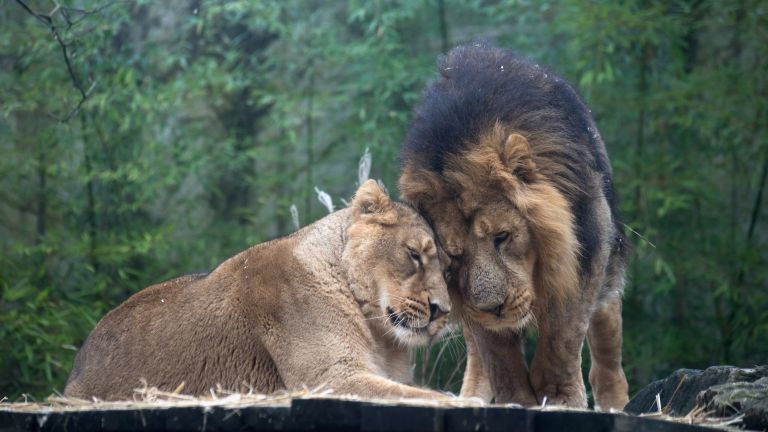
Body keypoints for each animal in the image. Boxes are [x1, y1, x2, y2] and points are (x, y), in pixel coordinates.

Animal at [66, 180, 452, 402]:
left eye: (448, 269)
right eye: (414, 254)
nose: (442, 311)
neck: (381, 336)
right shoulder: (330, 379)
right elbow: (425, 396)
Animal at [400, 44, 628, 412]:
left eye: (502, 237)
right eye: (455, 256)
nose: (493, 308)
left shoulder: (582, 256)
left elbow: (563, 335)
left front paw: (559, 397)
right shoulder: (471, 302)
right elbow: (496, 354)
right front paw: (516, 400)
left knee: (607, 325)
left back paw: (613, 400)